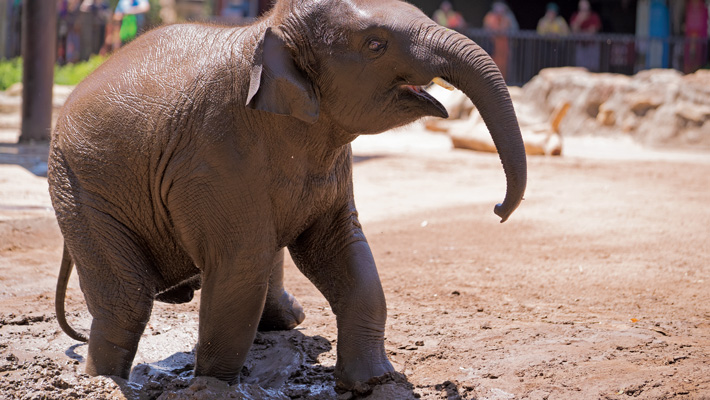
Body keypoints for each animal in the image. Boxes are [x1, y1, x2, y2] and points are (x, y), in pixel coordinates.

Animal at [50, 0, 524, 390]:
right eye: (376, 45)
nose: (499, 210)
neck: (268, 31)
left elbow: (344, 252)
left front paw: (374, 382)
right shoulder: (214, 155)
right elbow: (240, 266)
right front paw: (216, 389)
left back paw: (287, 320)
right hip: (79, 186)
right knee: (127, 301)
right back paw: (101, 380)